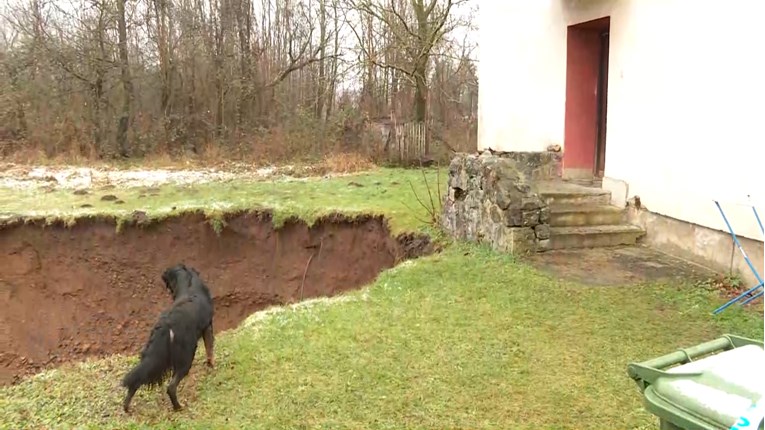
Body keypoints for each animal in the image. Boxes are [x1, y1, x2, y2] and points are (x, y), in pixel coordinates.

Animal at [121, 262, 215, 414]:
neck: (188, 284)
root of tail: (166, 326)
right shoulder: (208, 326)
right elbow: (210, 349)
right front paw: (211, 365)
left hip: (153, 358)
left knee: (136, 379)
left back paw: (126, 407)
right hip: (185, 357)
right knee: (171, 387)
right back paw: (178, 407)